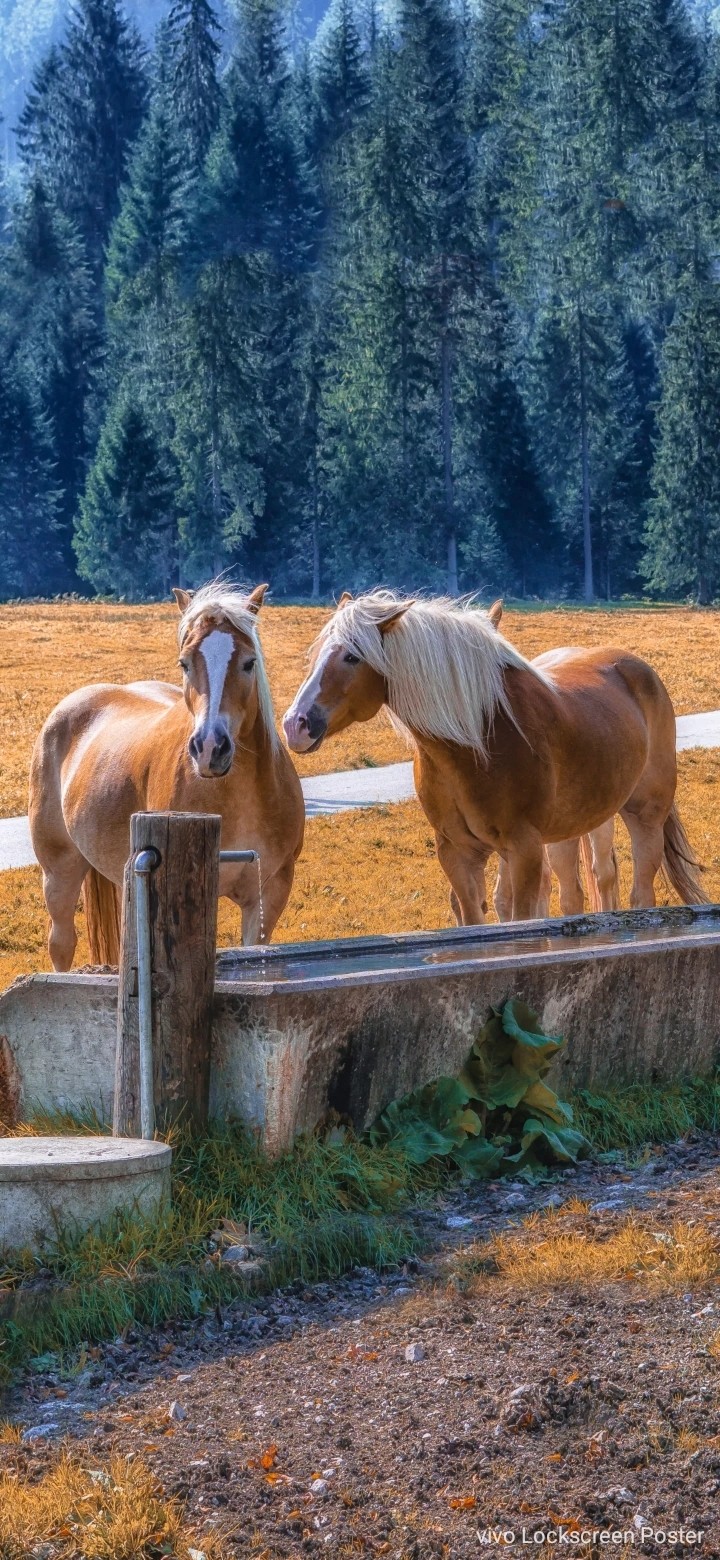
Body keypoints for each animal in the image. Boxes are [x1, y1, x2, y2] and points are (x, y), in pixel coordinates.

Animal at [30, 581, 304, 971]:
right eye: (185, 663)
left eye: (249, 662)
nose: (210, 747)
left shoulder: (269, 894)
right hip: (59, 871)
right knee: (61, 944)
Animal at [283, 590, 705, 923]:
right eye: (318, 654)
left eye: (352, 657)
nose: (295, 724)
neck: (473, 743)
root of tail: (637, 668)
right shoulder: (458, 853)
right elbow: (476, 921)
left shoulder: (524, 850)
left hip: (644, 816)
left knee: (638, 893)